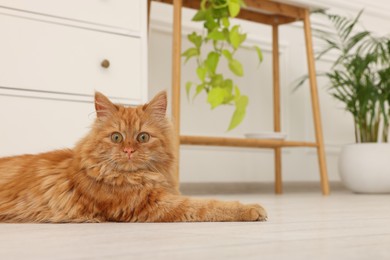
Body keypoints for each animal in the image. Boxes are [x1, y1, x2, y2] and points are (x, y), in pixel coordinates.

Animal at [0, 91, 266, 221]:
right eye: (117, 137)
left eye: (143, 137)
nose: (128, 150)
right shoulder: (151, 206)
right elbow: (209, 205)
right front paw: (252, 209)